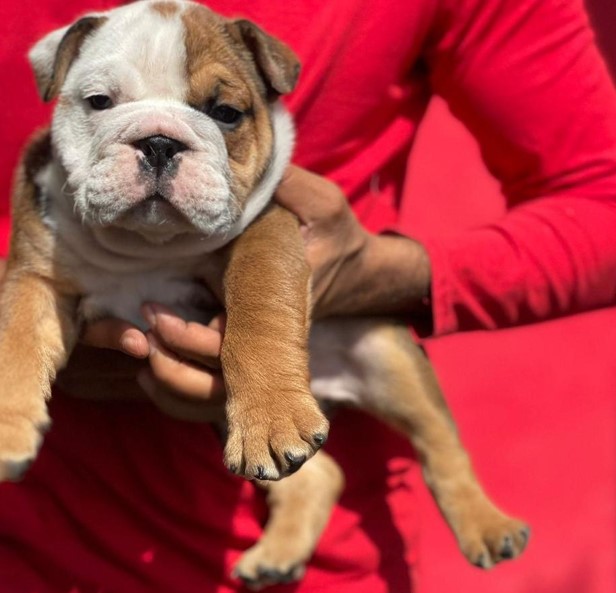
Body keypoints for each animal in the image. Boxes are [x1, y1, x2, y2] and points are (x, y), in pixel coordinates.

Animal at [0, 0, 528, 588]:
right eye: (99, 102)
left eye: (226, 112)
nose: (159, 141)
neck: (149, 248)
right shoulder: (36, 278)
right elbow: (16, 345)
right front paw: (7, 431)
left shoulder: (268, 230)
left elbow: (259, 305)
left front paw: (272, 411)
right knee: (317, 473)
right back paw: (275, 549)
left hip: (390, 358)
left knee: (441, 445)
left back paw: (488, 526)